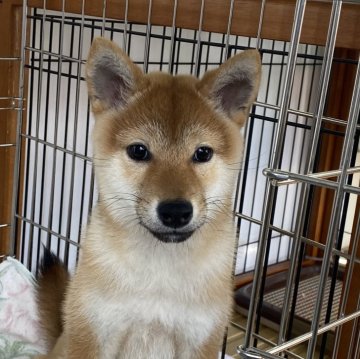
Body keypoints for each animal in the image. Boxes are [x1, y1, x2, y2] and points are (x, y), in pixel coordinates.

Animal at [36, 38, 260, 358]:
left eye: (203, 153)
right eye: (139, 151)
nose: (176, 211)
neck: (160, 271)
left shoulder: (200, 339)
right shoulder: (92, 332)